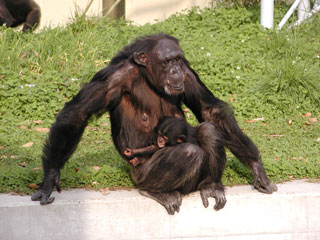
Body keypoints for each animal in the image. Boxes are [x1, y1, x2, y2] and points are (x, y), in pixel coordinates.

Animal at [31, 32, 278, 215]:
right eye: (167, 61)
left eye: (177, 59)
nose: (175, 70)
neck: (147, 77)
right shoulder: (112, 78)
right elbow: (78, 113)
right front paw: (50, 176)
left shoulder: (187, 74)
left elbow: (210, 110)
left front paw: (257, 167)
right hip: (143, 175)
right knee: (188, 152)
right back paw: (158, 192)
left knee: (209, 131)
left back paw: (211, 186)